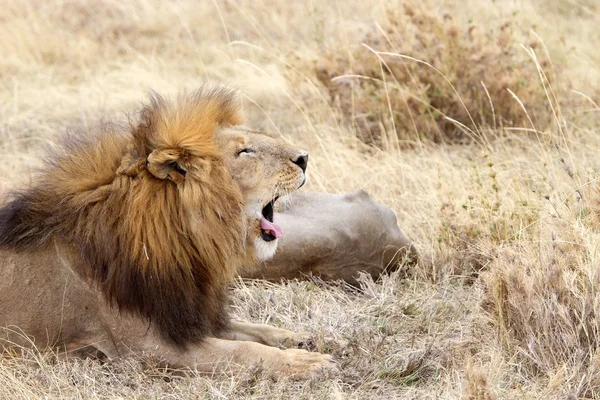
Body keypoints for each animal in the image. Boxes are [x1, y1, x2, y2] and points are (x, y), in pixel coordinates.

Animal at [0, 86, 336, 380]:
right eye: (245, 151)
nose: (305, 157)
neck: (184, 242)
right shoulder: (148, 348)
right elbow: (244, 351)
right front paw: (304, 362)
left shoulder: (191, 313)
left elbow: (252, 330)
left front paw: (297, 338)